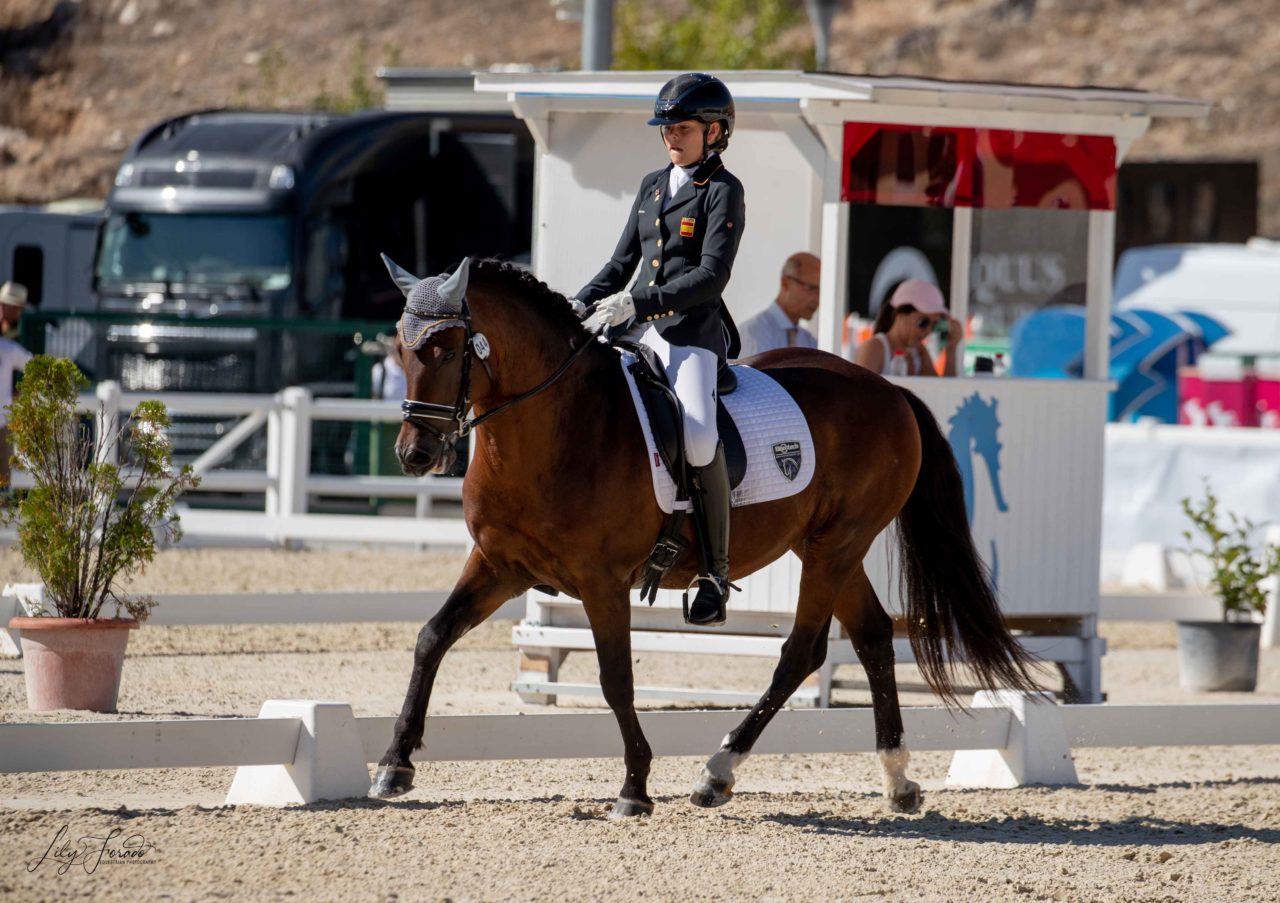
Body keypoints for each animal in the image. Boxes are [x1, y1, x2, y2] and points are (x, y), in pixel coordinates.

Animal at [371, 254, 1039, 819]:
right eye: (402, 348)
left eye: (448, 347)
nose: (414, 454)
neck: (556, 426)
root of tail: (887, 389)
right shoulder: (497, 565)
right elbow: (431, 639)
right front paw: (394, 765)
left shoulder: (601, 582)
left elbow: (617, 679)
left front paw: (635, 789)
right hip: (826, 546)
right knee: (873, 636)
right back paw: (896, 780)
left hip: (838, 545)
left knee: (802, 652)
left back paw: (718, 771)